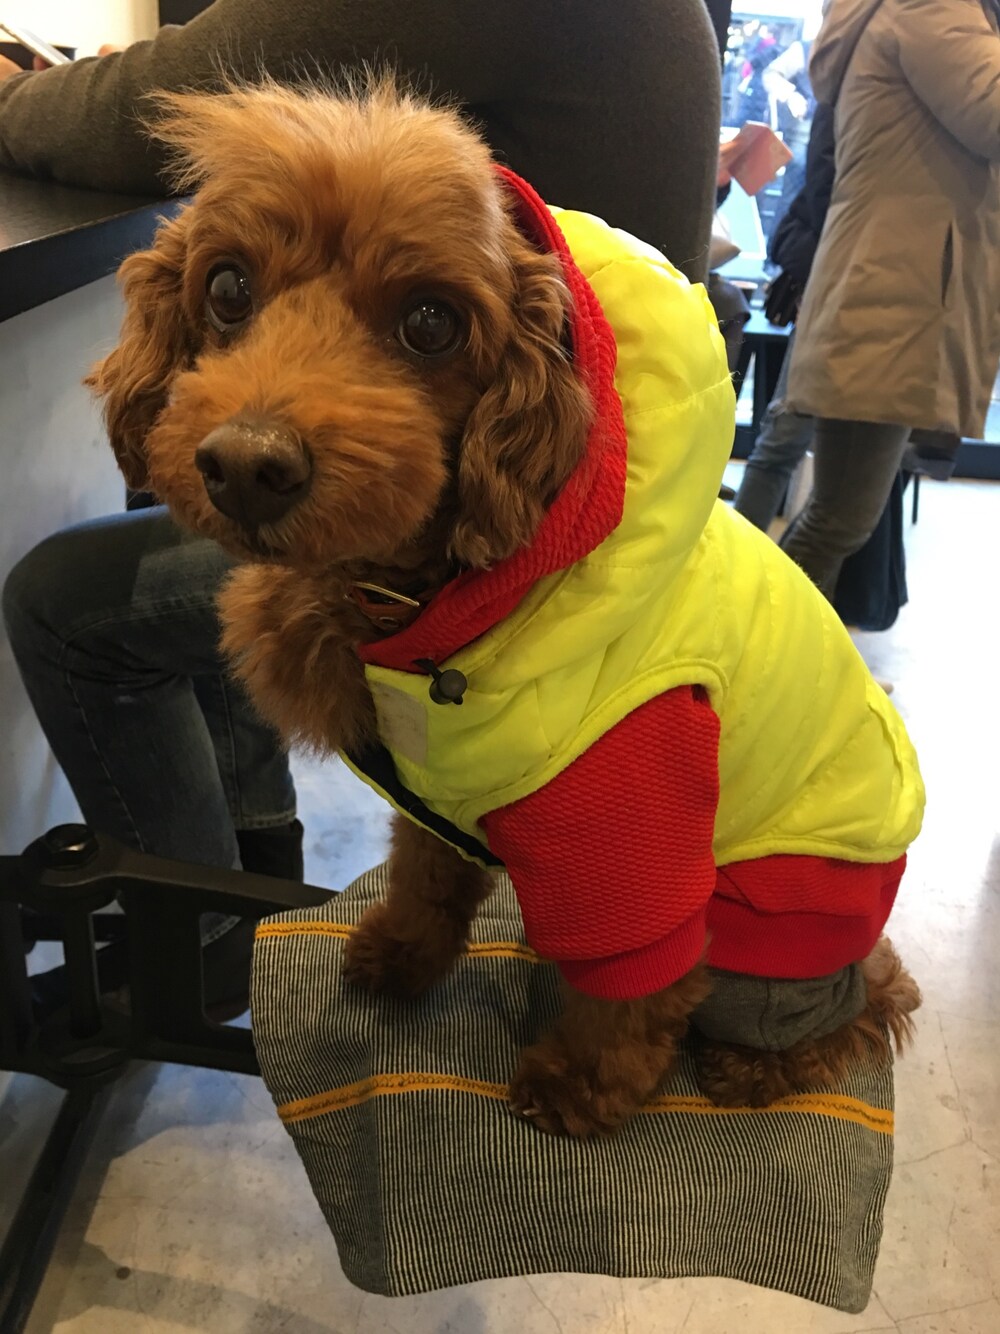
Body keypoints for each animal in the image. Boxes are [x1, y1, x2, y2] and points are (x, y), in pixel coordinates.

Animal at [89, 80, 922, 1137]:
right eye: (229, 289)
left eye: (431, 322)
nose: (246, 466)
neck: (421, 599)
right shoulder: (435, 788)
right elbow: (428, 872)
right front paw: (403, 952)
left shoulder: (638, 830)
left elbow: (635, 986)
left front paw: (579, 1086)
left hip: (771, 935)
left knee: (859, 1003)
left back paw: (755, 1066)